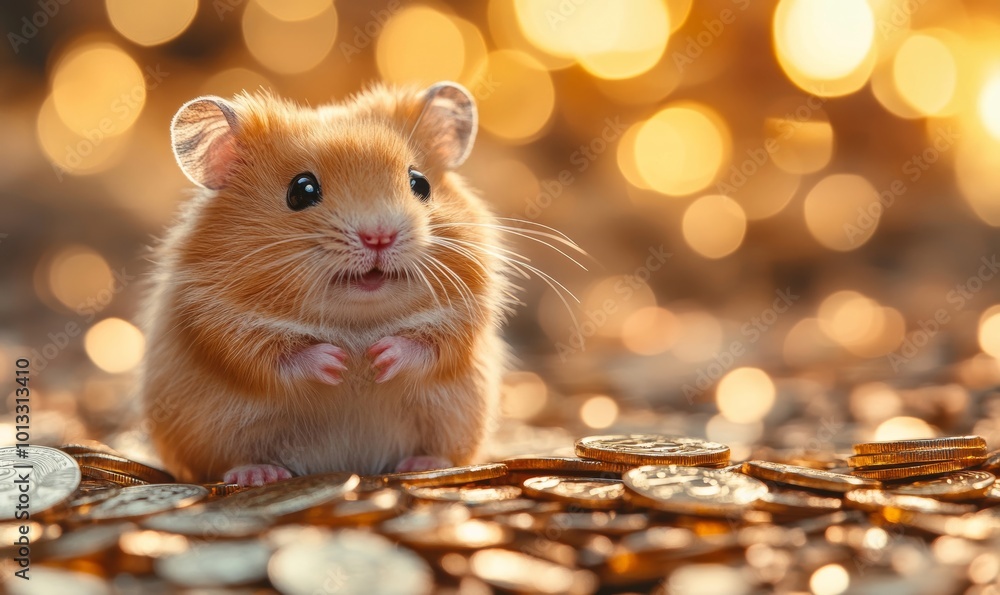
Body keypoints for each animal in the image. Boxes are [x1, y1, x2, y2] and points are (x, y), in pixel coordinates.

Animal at [140, 82, 513, 486]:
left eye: (421, 184)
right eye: (301, 191)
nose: (378, 236)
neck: (357, 320)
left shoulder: (470, 309)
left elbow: (432, 344)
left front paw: (377, 358)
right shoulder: (212, 318)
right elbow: (270, 355)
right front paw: (340, 363)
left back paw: (423, 465)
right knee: (230, 460)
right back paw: (259, 474)